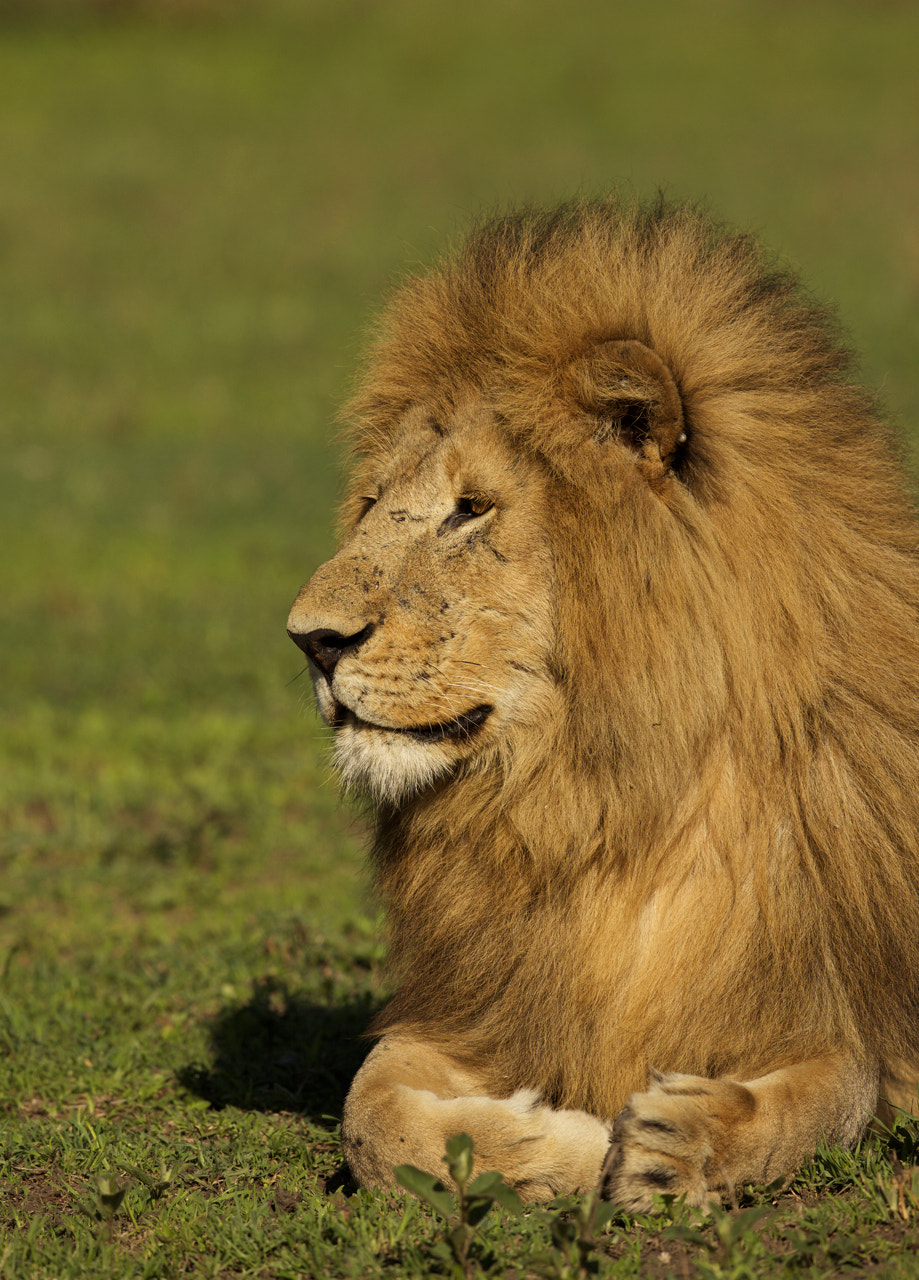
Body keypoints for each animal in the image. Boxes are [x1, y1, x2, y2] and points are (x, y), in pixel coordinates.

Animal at [286, 196, 919, 1209]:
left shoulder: (843, 1004)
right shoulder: (477, 1004)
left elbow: (832, 1092)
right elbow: (370, 1116)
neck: (601, 800)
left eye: (471, 509)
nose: (309, 639)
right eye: (374, 502)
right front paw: (557, 1144)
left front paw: (681, 1143)